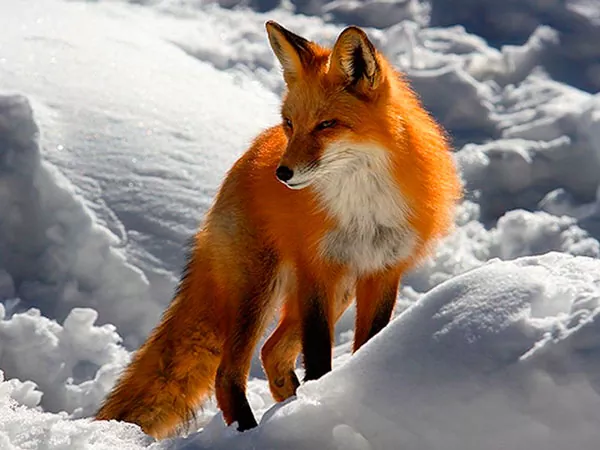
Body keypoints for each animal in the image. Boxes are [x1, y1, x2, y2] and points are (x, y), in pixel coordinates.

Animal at [95, 22, 460, 440]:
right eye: (291, 124)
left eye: (326, 125)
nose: (282, 174)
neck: (362, 204)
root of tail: (244, 160)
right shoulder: (317, 267)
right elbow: (317, 355)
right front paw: (318, 404)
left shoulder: (383, 269)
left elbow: (369, 342)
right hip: (259, 290)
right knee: (228, 374)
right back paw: (251, 431)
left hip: (337, 290)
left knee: (271, 353)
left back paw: (285, 406)